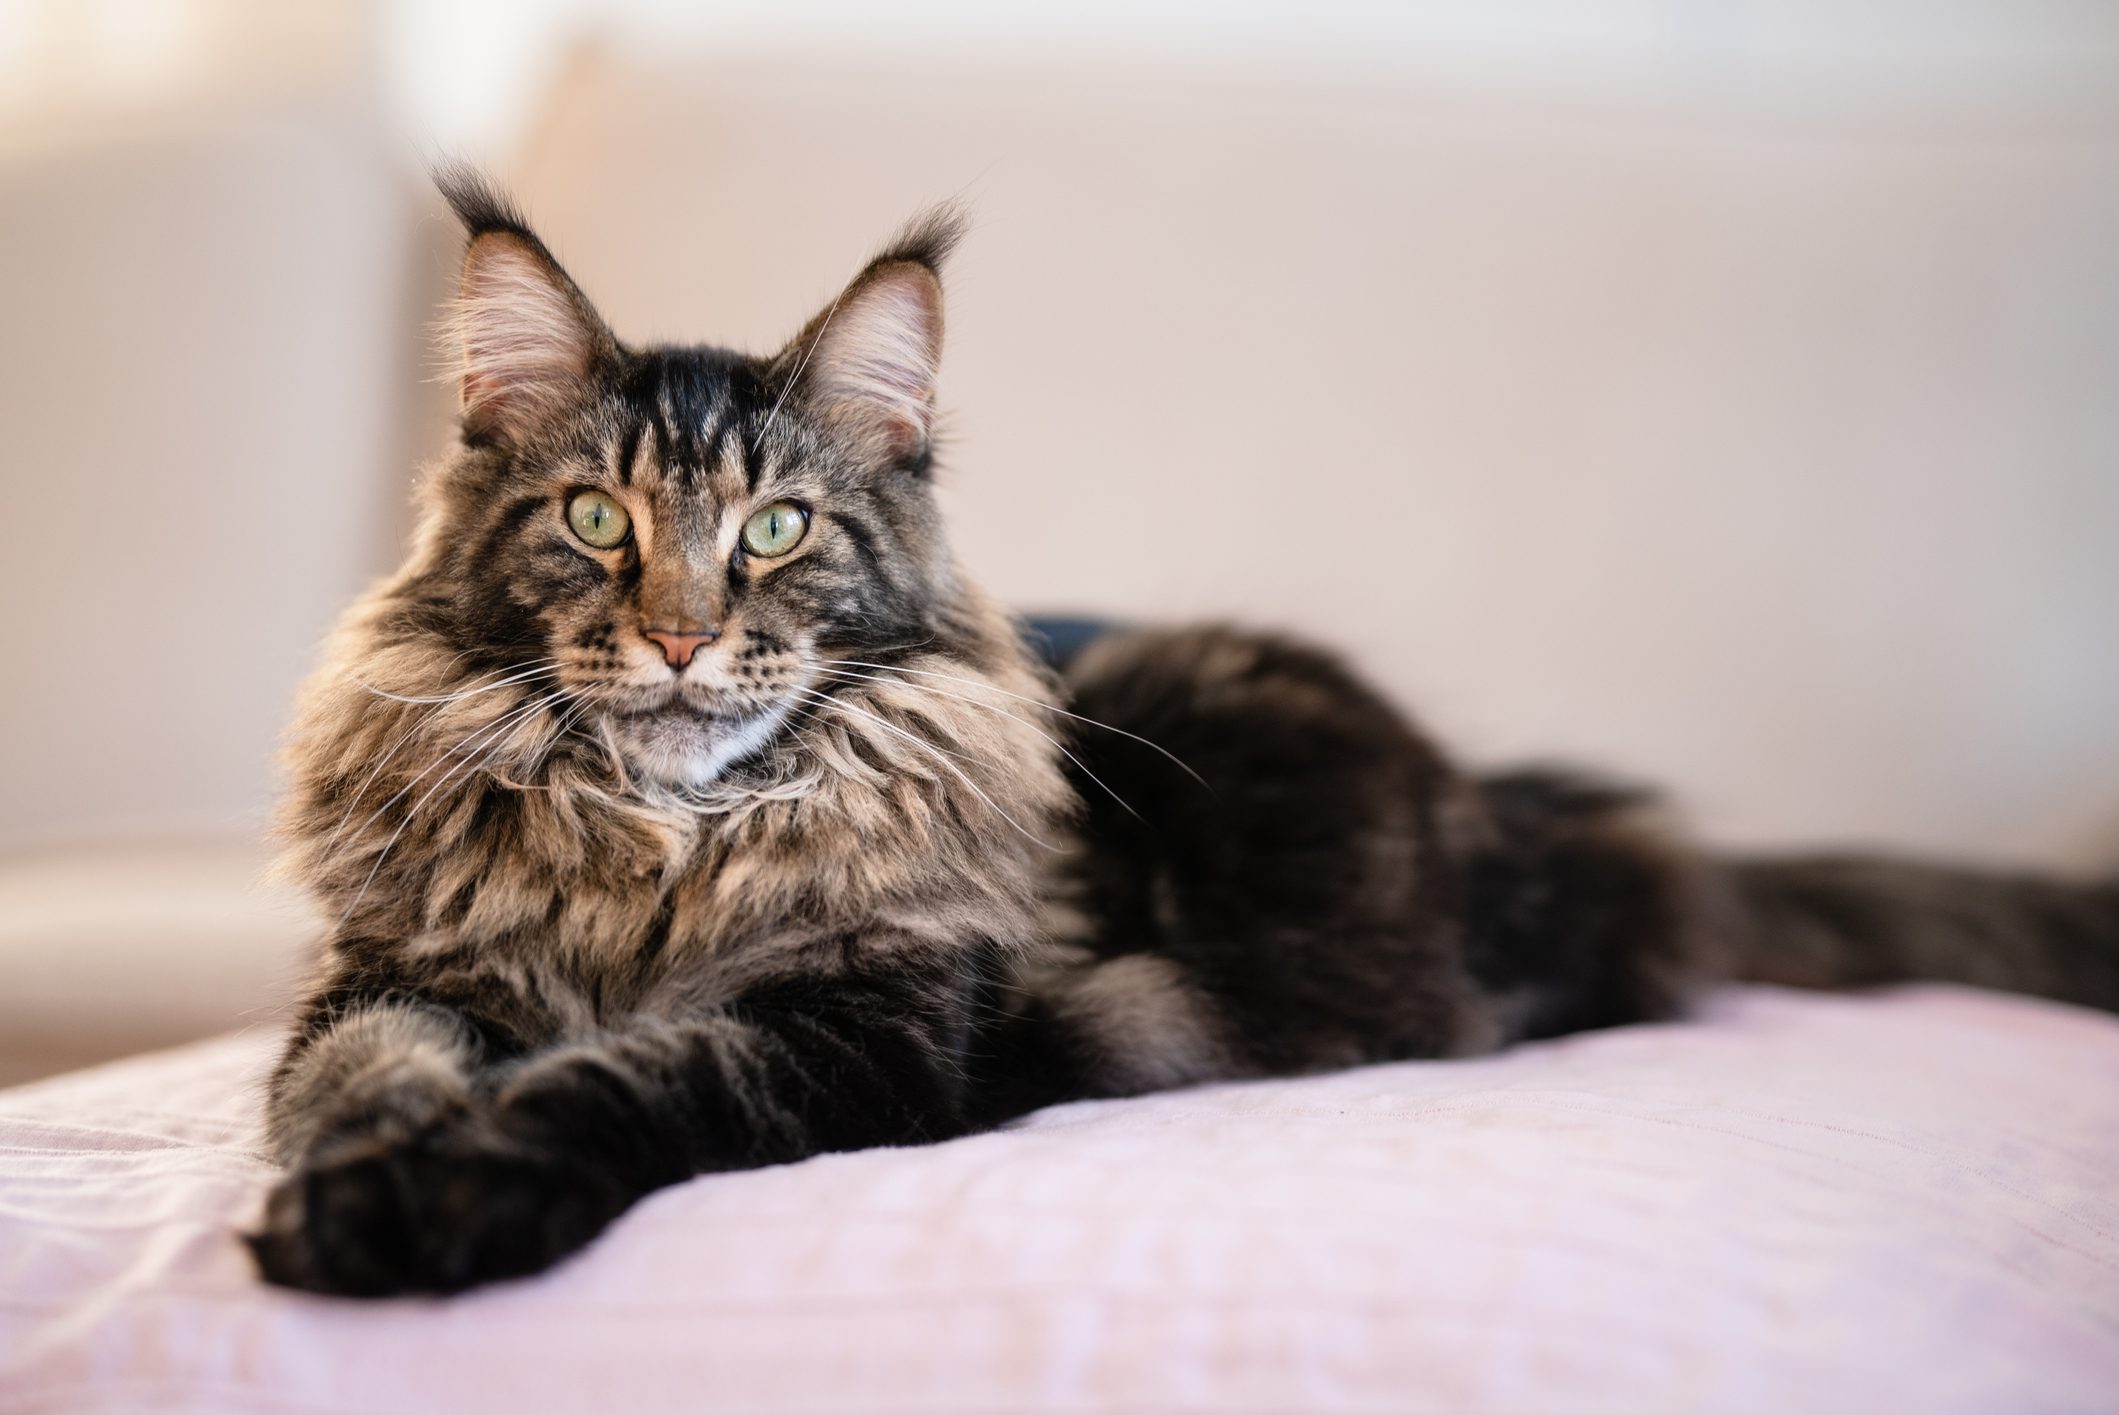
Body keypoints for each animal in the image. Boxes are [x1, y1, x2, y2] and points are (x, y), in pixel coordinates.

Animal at [247, 173, 2119, 1296]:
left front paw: (440, 1200)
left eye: (776, 528)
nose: (683, 631)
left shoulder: (858, 1022)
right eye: (595, 521)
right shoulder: (389, 975)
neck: (659, 845)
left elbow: (627, 1079)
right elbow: (354, 1074)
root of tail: (1509, 805)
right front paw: (360, 1171)